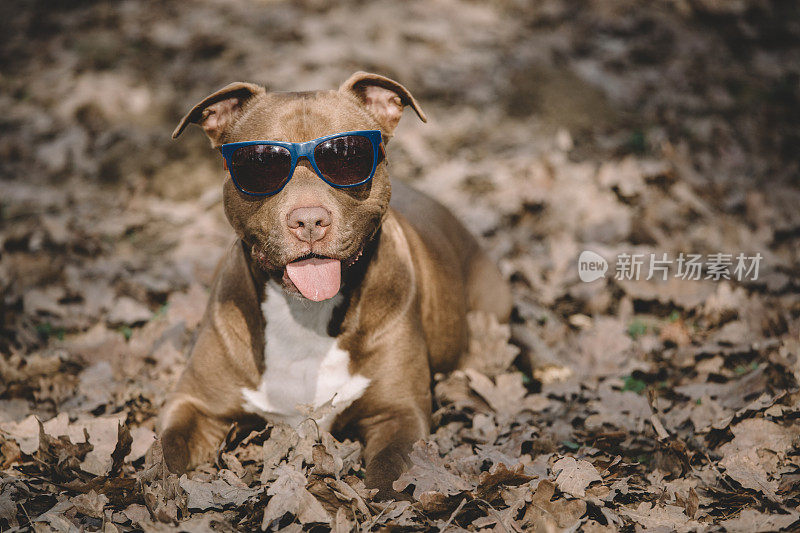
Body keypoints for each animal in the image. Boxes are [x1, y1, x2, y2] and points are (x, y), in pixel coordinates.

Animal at [161, 71, 512, 498]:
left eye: (347, 156)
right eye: (259, 163)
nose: (309, 219)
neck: (305, 314)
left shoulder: (398, 413)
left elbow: (390, 473)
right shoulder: (194, 405)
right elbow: (166, 454)